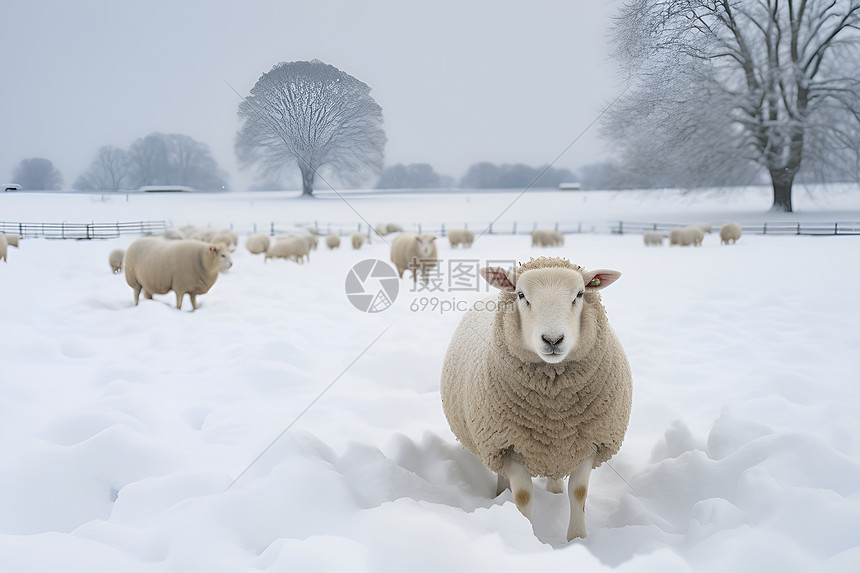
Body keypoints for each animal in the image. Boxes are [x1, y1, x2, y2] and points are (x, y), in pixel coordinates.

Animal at [444, 256, 632, 540]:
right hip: (493, 446)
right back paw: (500, 496)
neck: (553, 412)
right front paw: (525, 534)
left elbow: (578, 493)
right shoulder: (508, 445)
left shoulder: (590, 444)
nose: (553, 340)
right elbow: (523, 496)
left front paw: (577, 539)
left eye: (579, 294)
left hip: (560, 450)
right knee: (502, 476)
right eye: (522, 295)